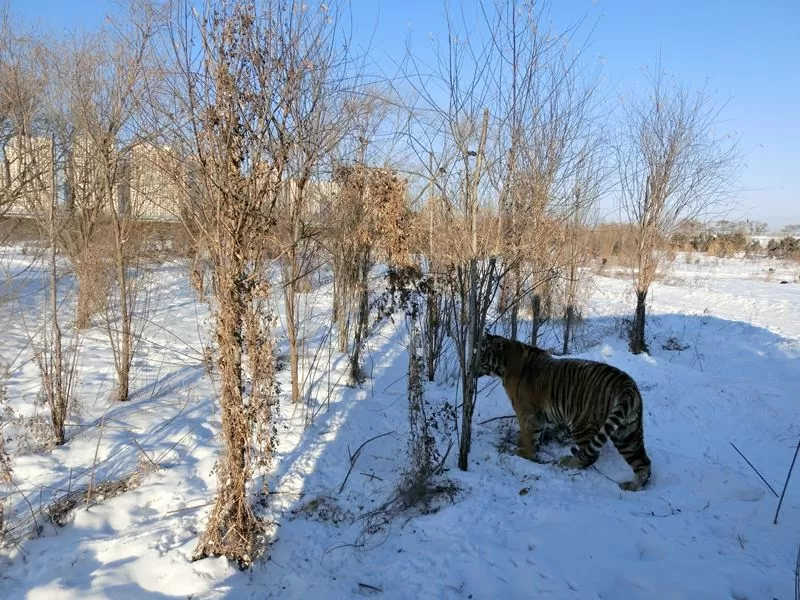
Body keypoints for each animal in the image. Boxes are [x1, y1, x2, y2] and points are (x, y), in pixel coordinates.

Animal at [476, 333, 652, 491]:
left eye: (482, 351)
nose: (473, 364)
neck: (504, 365)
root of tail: (627, 386)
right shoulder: (538, 416)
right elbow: (532, 436)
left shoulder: (527, 412)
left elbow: (529, 436)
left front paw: (524, 455)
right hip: (627, 433)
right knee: (643, 463)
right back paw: (633, 486)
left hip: (582, 424)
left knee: (591, 455)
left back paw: (567, 462)